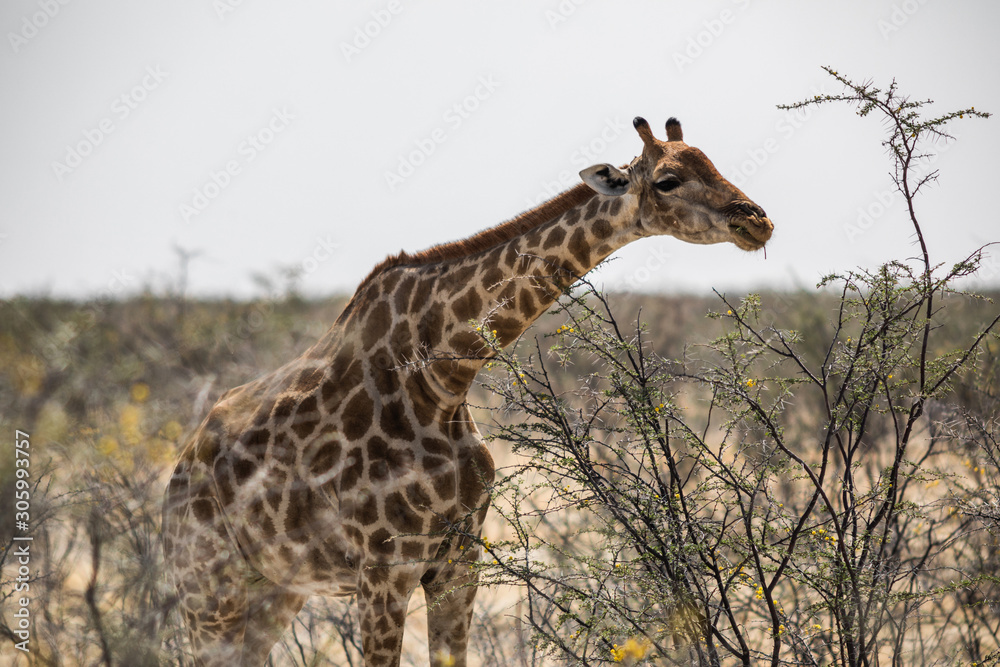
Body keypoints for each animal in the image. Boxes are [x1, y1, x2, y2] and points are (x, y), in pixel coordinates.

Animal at [162, 116, 773, 666]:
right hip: (209, 590)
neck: (443, 382)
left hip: (275, 588)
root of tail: (178, 471)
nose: (757, 220)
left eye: (712, 162)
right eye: (668, 180)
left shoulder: (460, 564)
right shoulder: (384, 571)